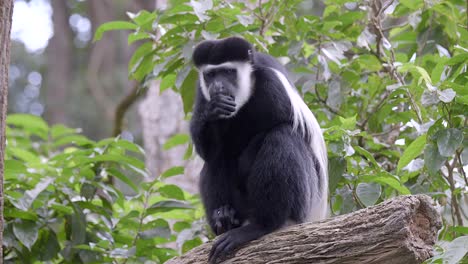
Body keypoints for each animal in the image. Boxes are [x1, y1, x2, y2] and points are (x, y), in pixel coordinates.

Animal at [190, 36, 330, 262]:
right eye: (210, 75)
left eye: (228, 72)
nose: (218, 86)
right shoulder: (202, 94)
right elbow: (208, 149)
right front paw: (214, 110)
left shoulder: (272, 85)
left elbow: (281, 123)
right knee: (216, 158)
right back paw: (224, 218)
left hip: (304, 199)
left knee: (282, 137)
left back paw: (260, 226)